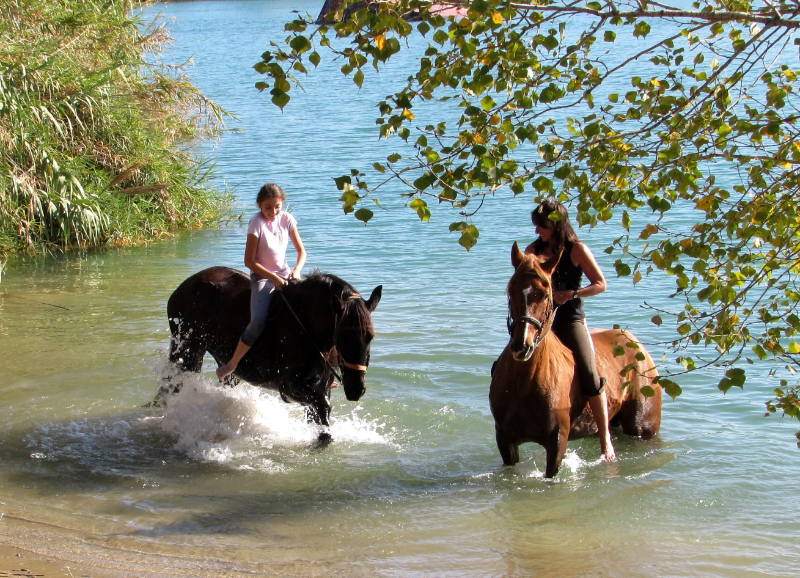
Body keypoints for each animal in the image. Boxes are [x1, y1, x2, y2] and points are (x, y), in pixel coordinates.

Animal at [162, 264, 382, 434]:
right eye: (342, 337)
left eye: (370, 337)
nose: (356, 389)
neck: (306, 326)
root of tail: (183, 287)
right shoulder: (289, 386)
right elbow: (322, 407)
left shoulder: (320, 386)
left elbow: (321, 415)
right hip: (187, 350)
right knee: (173, 383)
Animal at [488, 241, 664, 474]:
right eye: (511, 291)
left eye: (546, 295)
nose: (522, 347)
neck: (524, 383)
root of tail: (637, 344)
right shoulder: (505, 440)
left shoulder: (557, 442)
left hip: (642, 428)